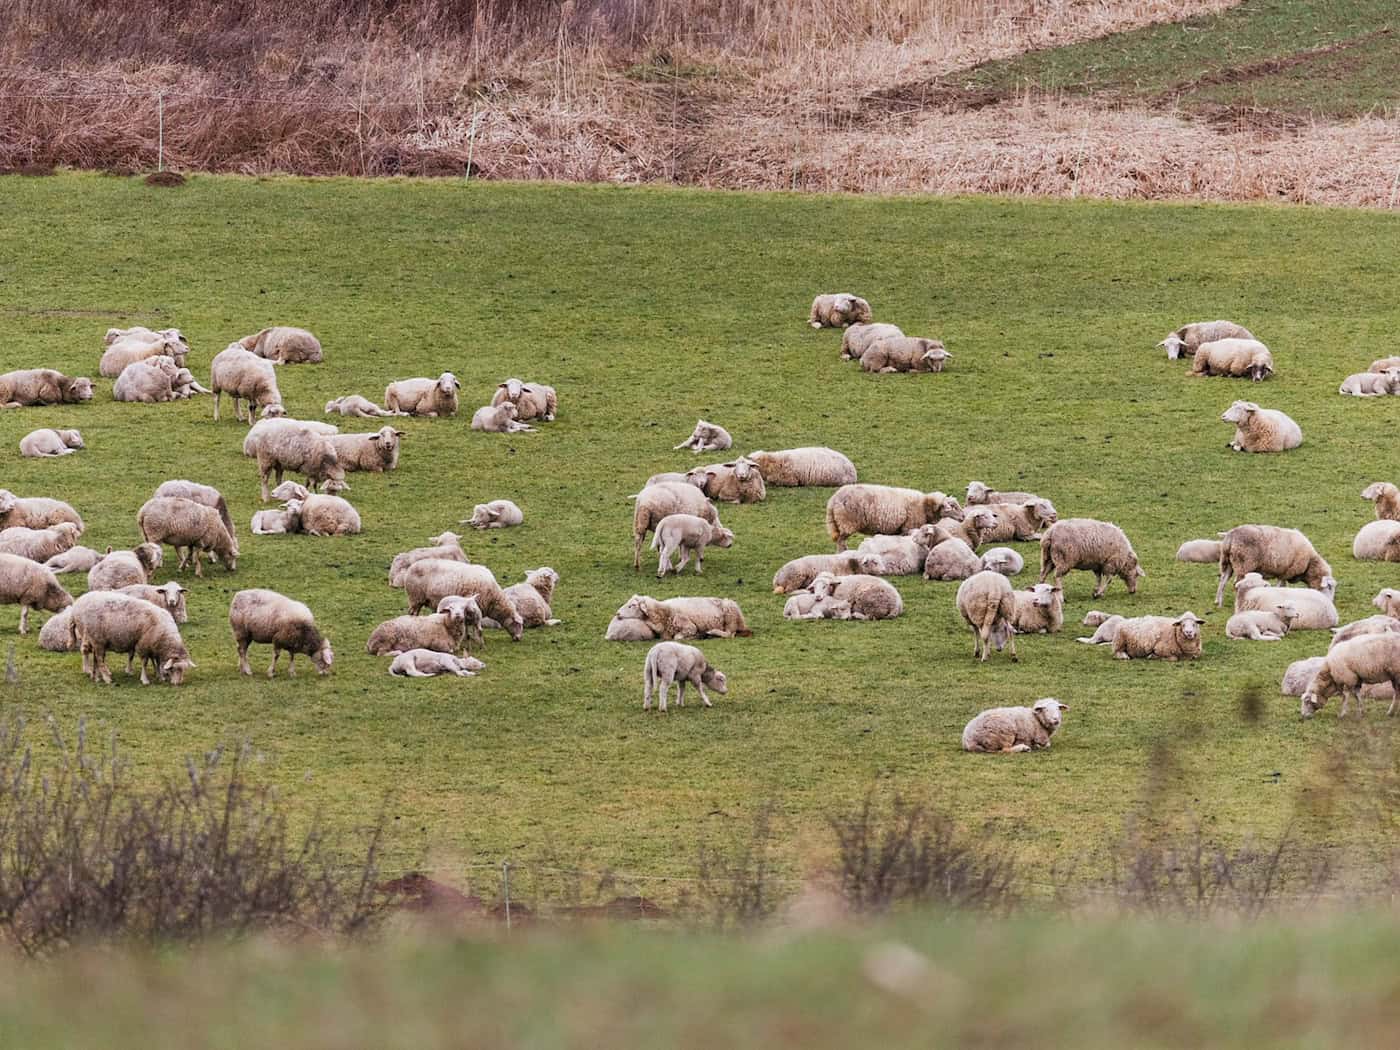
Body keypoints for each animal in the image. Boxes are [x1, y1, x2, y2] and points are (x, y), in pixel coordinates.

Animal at [616, 595, 752, 640]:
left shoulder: (689, 626)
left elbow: (677, 637)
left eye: (632, 605)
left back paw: (711, 632)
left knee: (729, 633)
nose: (617, 614)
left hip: (730, 616)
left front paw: (696, 636)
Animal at [825, 485, 964, 551]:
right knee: (841, 542)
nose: (963, 516)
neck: (924, 505)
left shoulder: (900, 530)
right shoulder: (908, 527)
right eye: (952, 506)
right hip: (847, 522)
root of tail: (833, 500)